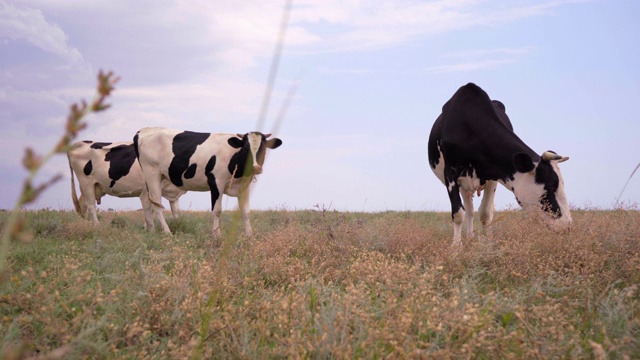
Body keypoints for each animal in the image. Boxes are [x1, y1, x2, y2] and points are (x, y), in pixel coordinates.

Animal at [133, 128, 282, 238]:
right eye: (246, 148)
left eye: (263, 149)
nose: (255, 168)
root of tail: (143, 131)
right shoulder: (216, 181)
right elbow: (217, 210)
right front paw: (216, 235)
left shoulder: (244, 187)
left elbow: (246, 211)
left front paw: (249, 235)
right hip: (152, 173)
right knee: (156, 204)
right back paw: (167, 232)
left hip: (158, 177)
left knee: (146, 200)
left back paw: (151, 231)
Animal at [430, 83, 568, 248]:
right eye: (552, 184)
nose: (568, 225)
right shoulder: (450, 173)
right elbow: (458, 213)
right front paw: (456, 247)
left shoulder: (493, 175)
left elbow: (486, 213)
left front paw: (488, 242)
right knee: (468, 209)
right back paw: (469, 237)